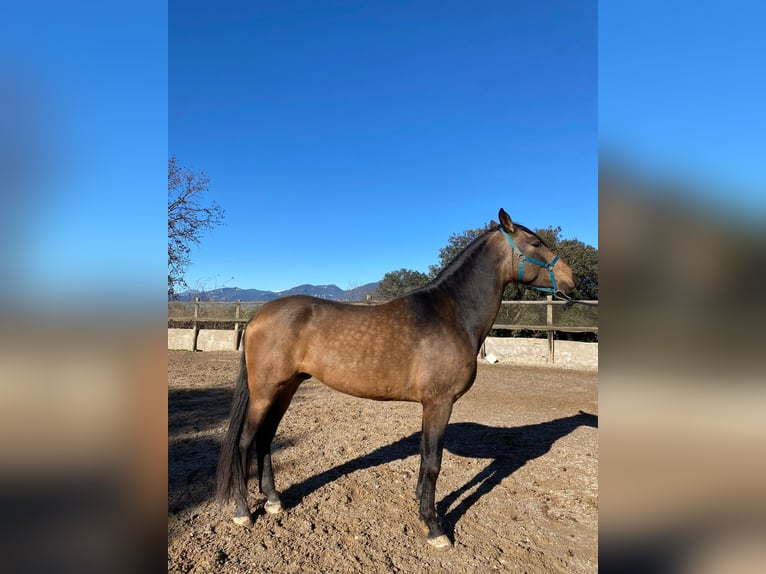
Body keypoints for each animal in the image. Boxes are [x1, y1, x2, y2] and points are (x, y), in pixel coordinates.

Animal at [216, 209, 576, 552]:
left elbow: (425, 456)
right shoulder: (439, 403)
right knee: (245, 441)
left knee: (265, 438)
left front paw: (421, 506)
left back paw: (274, 501)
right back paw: (243, 512)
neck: (452, 313)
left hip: (286, 388)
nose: (571, 280)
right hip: (265, 391)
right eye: (536, 243)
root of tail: (259, 315)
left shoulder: (430, 406)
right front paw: (434, 527)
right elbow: (433, 462)